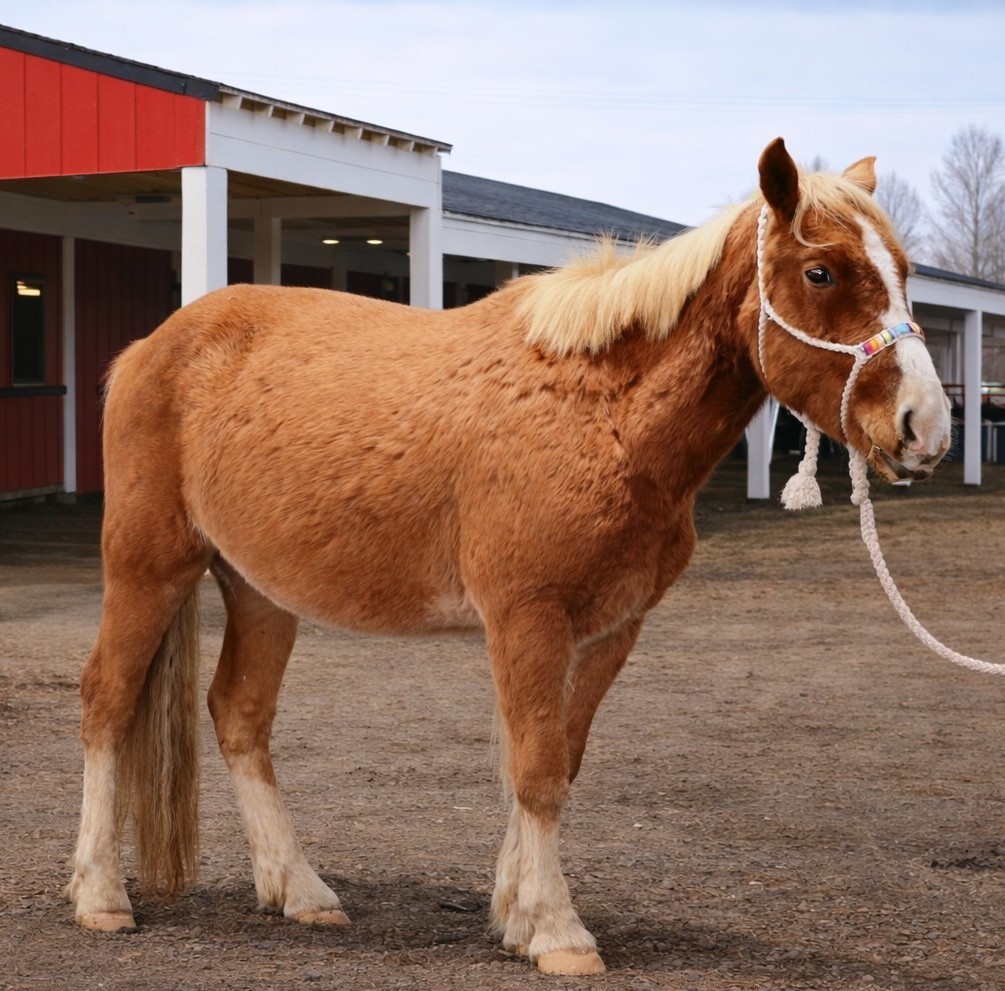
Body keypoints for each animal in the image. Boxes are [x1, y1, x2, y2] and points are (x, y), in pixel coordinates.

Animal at [66, 138, 951, 976]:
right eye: (820, 271)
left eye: (904, 274)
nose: (925, 427)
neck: (603, 414)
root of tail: (150, 347)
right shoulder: (527, 617)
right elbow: (535, 768)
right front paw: (558, 931)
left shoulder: (612, 626)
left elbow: (561, 759)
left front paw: (517, 914)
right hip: (149, 564)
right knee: (107, 700)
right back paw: (100, 893)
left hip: (259, 588)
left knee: (240, 716)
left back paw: (300, 889)